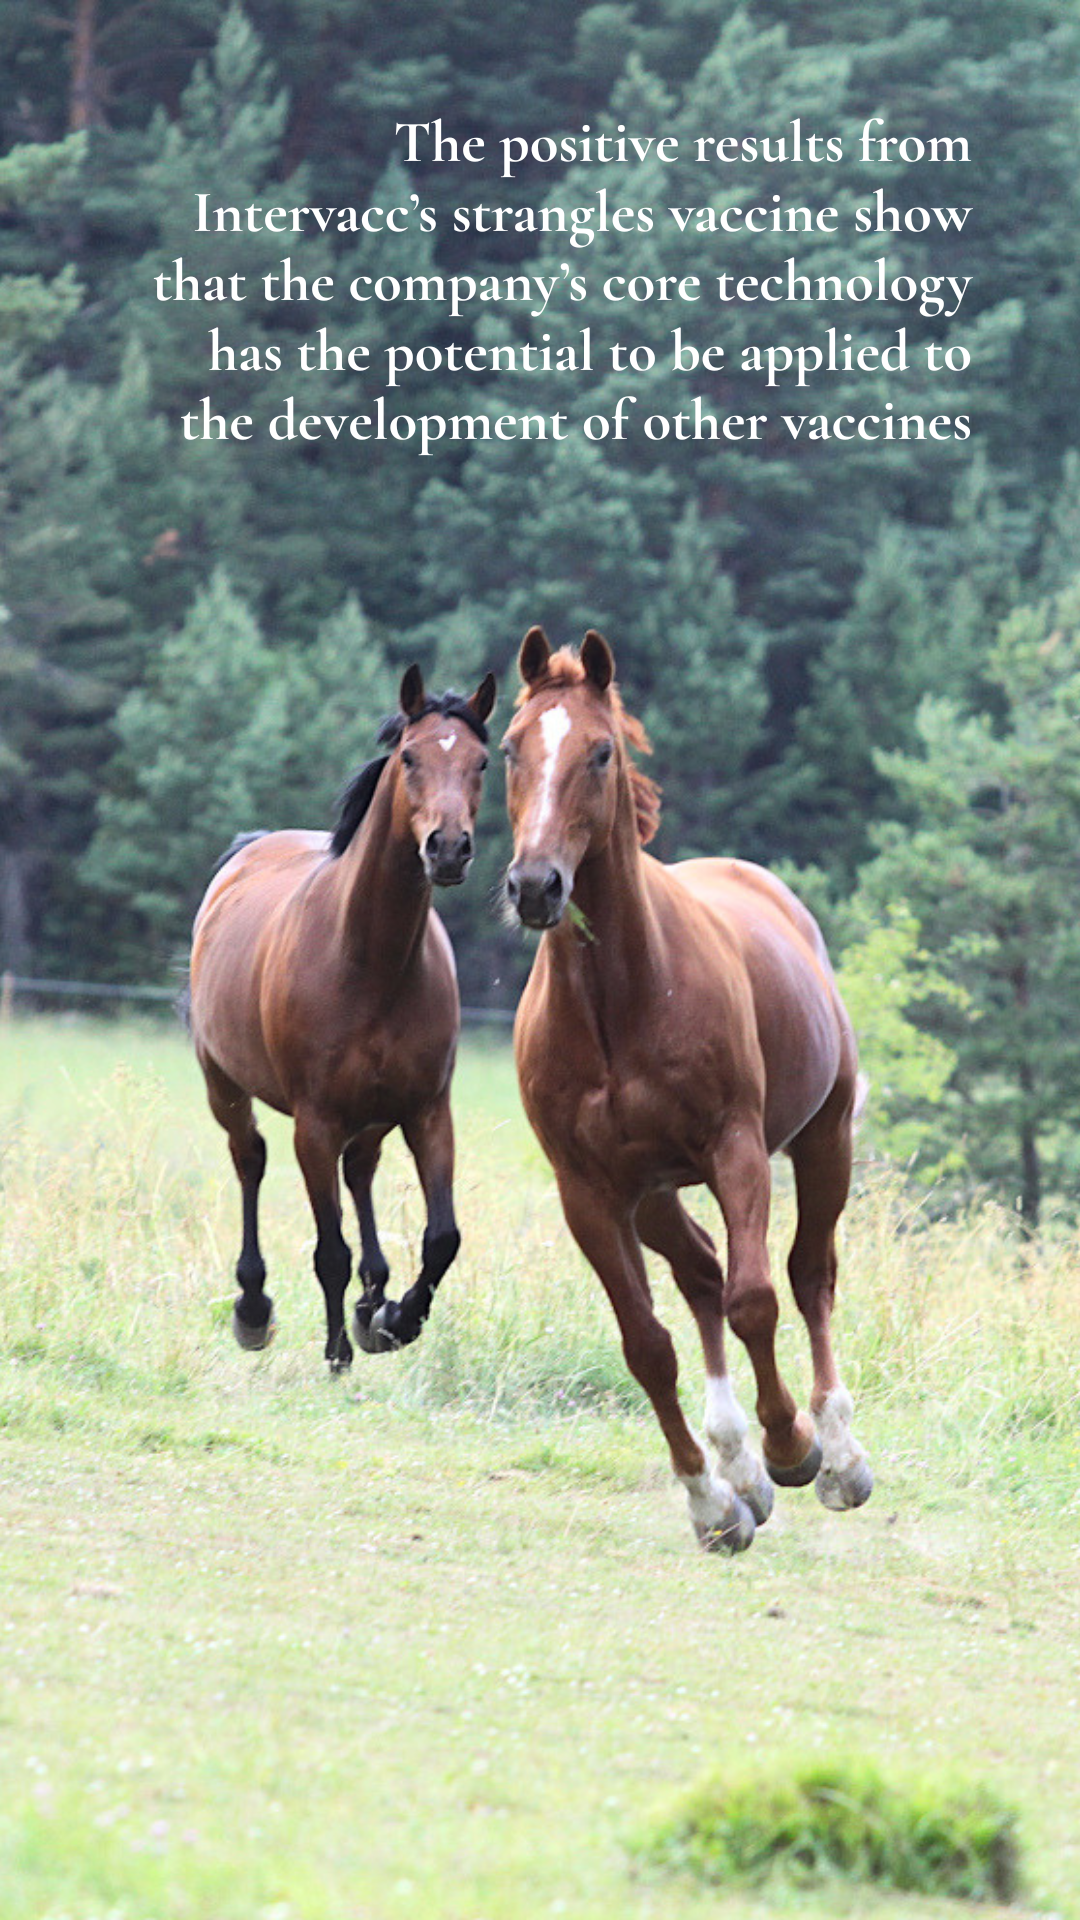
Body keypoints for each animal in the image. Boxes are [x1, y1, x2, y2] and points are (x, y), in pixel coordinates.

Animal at [189, 663, 496, 1370]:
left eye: (483, 762)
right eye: (409, 756)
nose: (448, 848)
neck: (368, 960)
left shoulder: (427, 1111)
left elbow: (442, 1237)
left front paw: (395, 1319)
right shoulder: (316, 1121)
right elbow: (330, 1247)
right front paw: (336, 1354)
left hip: (376, 1115)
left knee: (360, 1171)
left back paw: (370, 1302)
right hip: (224, 1085)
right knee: (249, 1159)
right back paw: (255, 1308)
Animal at [502, 625, 872, 1553]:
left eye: (600, 751)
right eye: (510, 749)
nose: (535, 886)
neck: (621, 1001)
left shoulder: (736, 1150)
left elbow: (756, 1300)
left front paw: (792, 1448)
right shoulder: (592, 1192)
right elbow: (648, 1344)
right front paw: (714, 1502)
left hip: (825, 1141)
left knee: (808, 1274)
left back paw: (835, 1452)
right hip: (656, 1195)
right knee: (701, 1273)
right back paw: (737, 1465)